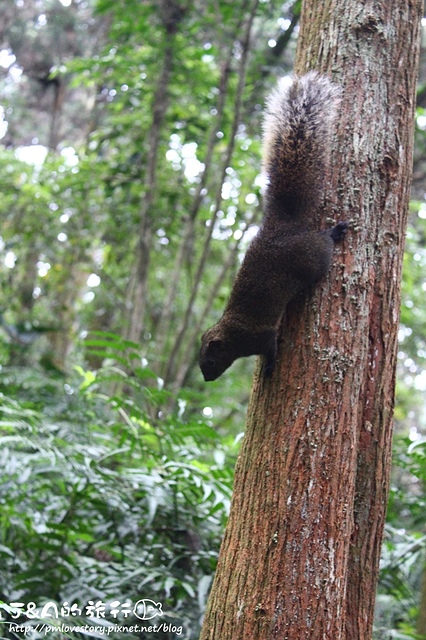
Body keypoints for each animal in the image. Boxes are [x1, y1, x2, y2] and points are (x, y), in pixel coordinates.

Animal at [199, 71, 346, 380]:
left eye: (210, 361)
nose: (206, 378)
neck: (232, 332)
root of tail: (282, 228)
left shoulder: (260, 336)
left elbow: (270, 347)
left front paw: (268, 367)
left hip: (313, 258)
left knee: (324, 245)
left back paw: (334, 232)